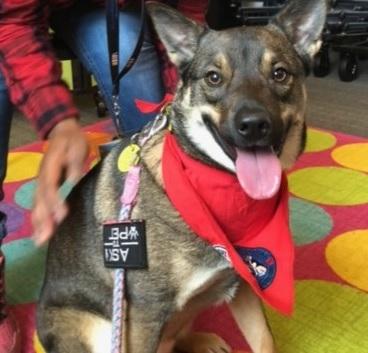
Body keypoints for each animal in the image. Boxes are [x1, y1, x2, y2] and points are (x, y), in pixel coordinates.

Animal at [36, 1, 328, 350]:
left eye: (279, 73)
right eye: (213, 78)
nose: (254, 125)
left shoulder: (243, 283)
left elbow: (263, 340)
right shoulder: (144, 315)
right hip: (98, 328)